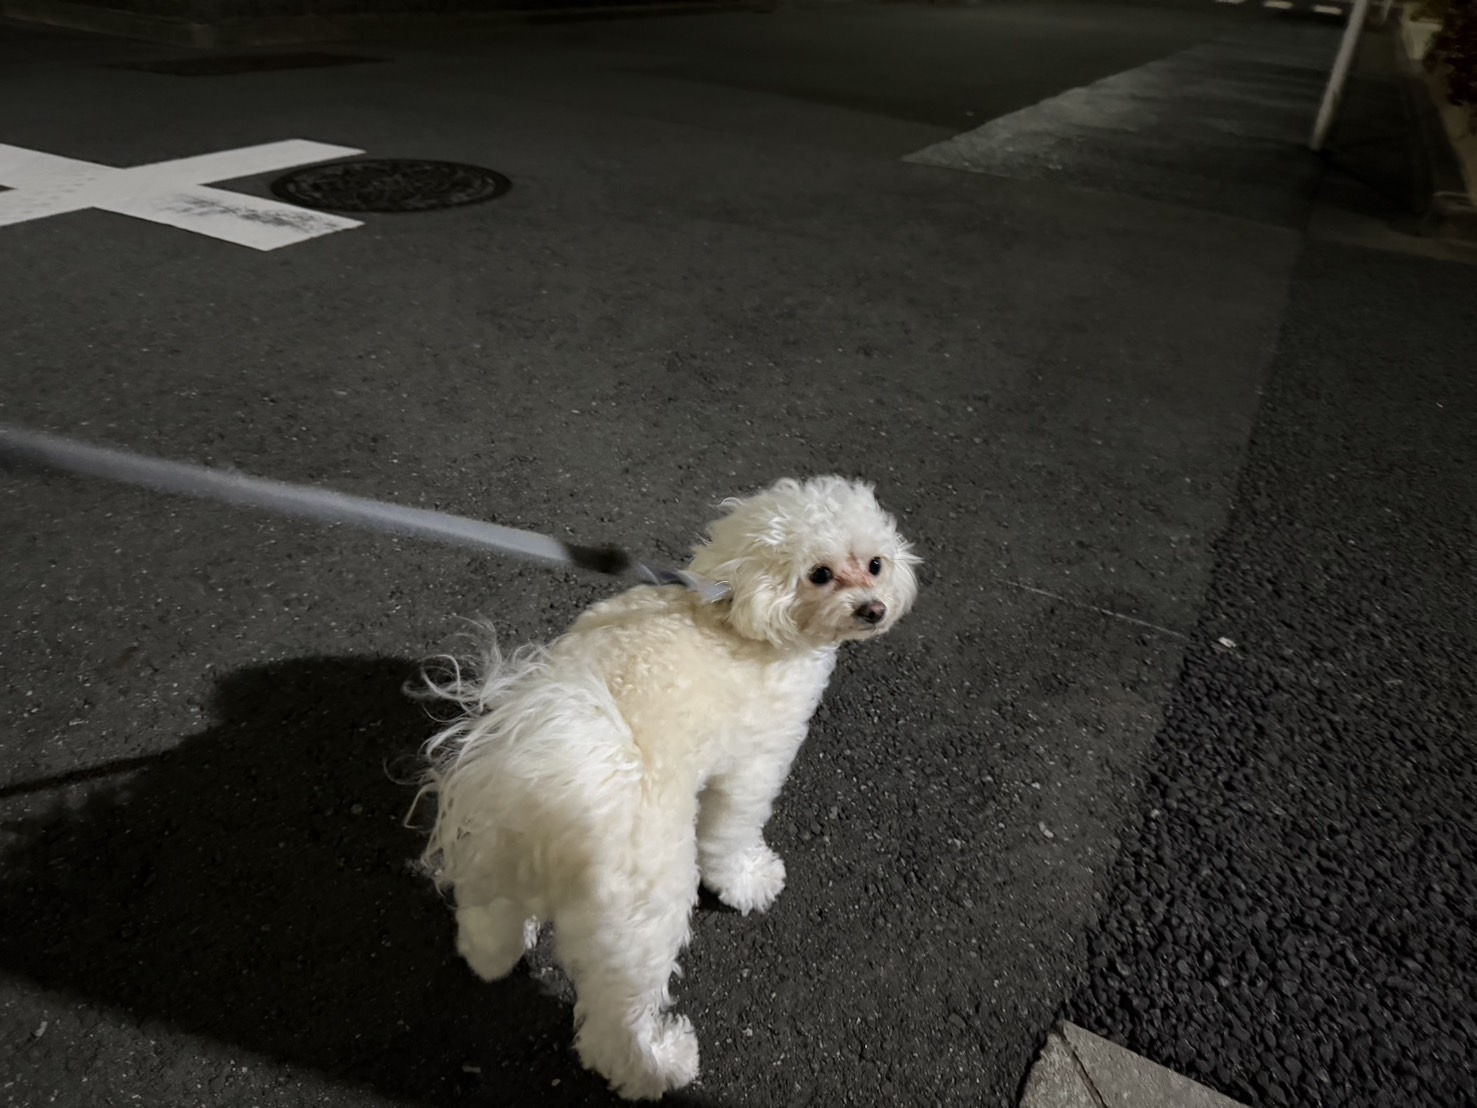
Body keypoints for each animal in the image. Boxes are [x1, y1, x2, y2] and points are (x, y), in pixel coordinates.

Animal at [414, 476, 919, 1100]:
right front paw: (748, 881)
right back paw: (660, 1063)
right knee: (615, 1024)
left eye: (875, 564)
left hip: (504, 854)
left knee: (489, 916)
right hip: (644, 917)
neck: (732, 608)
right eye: (820, 574)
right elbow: (732, 831)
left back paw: (491, 953)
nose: (874, 609)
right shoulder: (756, 760)